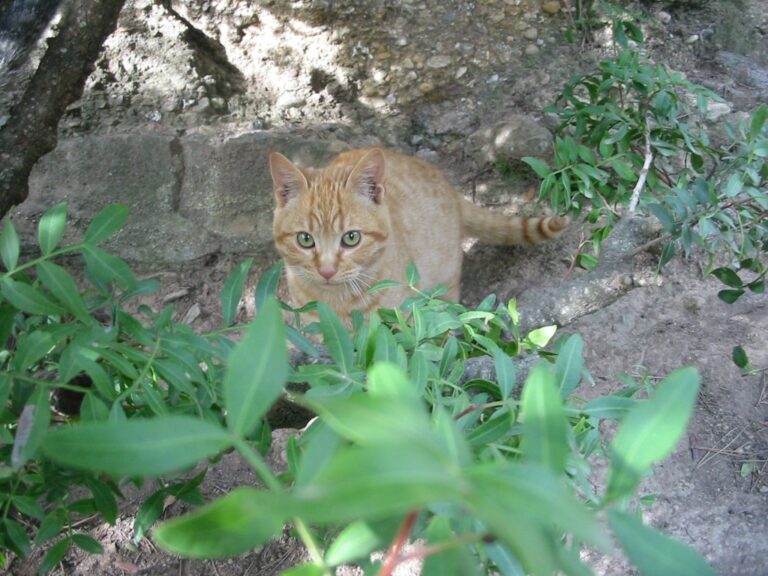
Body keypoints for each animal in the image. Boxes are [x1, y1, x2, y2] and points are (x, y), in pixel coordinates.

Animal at [268, 147, 564, 320]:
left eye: (351, 238)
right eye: (305, 239)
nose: (327, 271)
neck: (338, 302)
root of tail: (450, 187)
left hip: (443, 285)